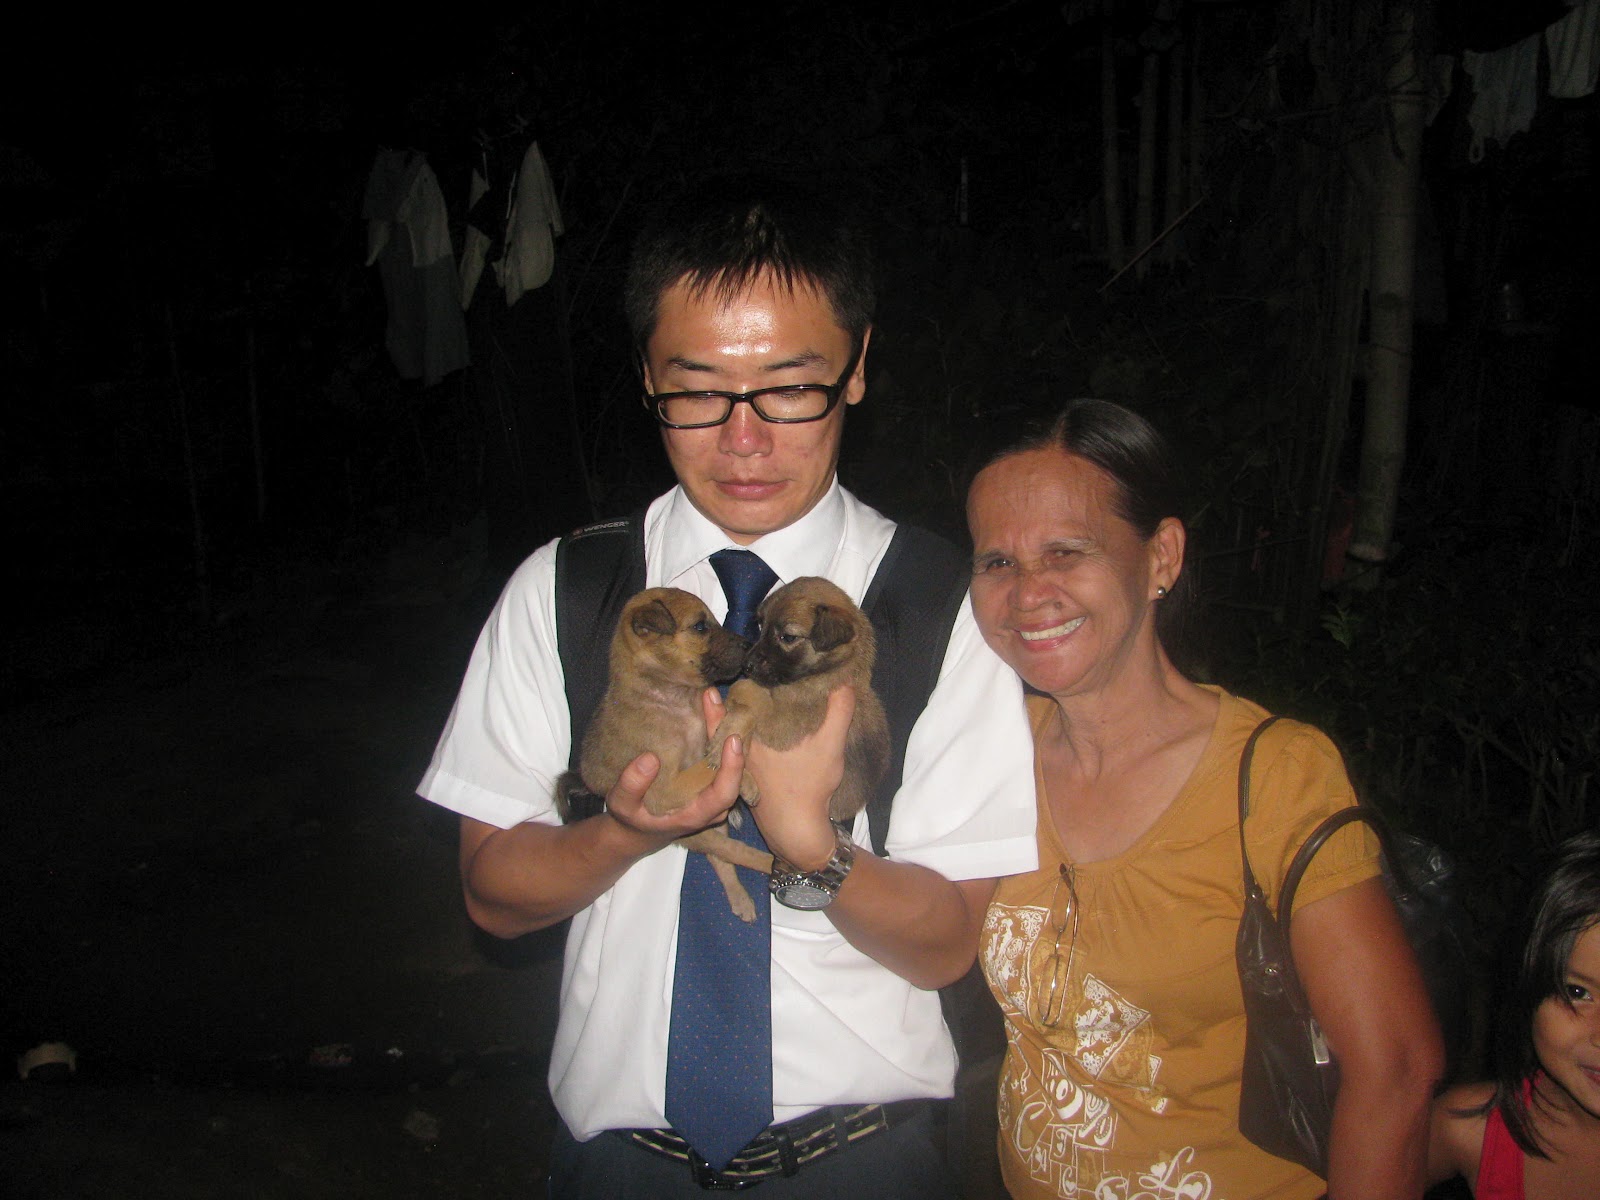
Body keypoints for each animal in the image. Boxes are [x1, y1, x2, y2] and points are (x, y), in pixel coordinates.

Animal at [556, 587, 774, 921]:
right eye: (700, 626)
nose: (750, 646)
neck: (672, 698)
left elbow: (724, 742)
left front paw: (744, 775)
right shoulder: (664, 789)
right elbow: (704, 768)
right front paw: (740, 777)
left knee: (722, 859)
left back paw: (740, 899)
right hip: (698, 830)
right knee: (730, 852)